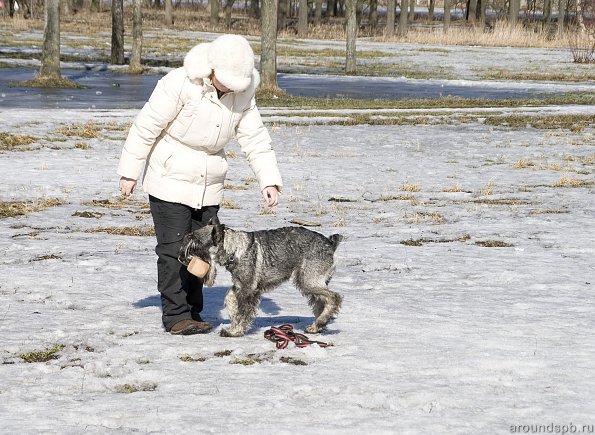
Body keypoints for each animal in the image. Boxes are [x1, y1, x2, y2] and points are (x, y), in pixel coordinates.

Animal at [178, 223, 344, 338]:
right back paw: (316, 326)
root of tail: (330, 243)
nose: (181, 259)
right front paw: (232, 318)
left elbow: (243, 313)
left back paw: (321, 321)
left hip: (308, 280)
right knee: (321, 302)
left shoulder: (248, 290)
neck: (234, 250)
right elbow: (230, 298)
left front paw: (234, 331)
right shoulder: (240, 285)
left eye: (196, 246)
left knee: (334, 297)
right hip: (311, 281)